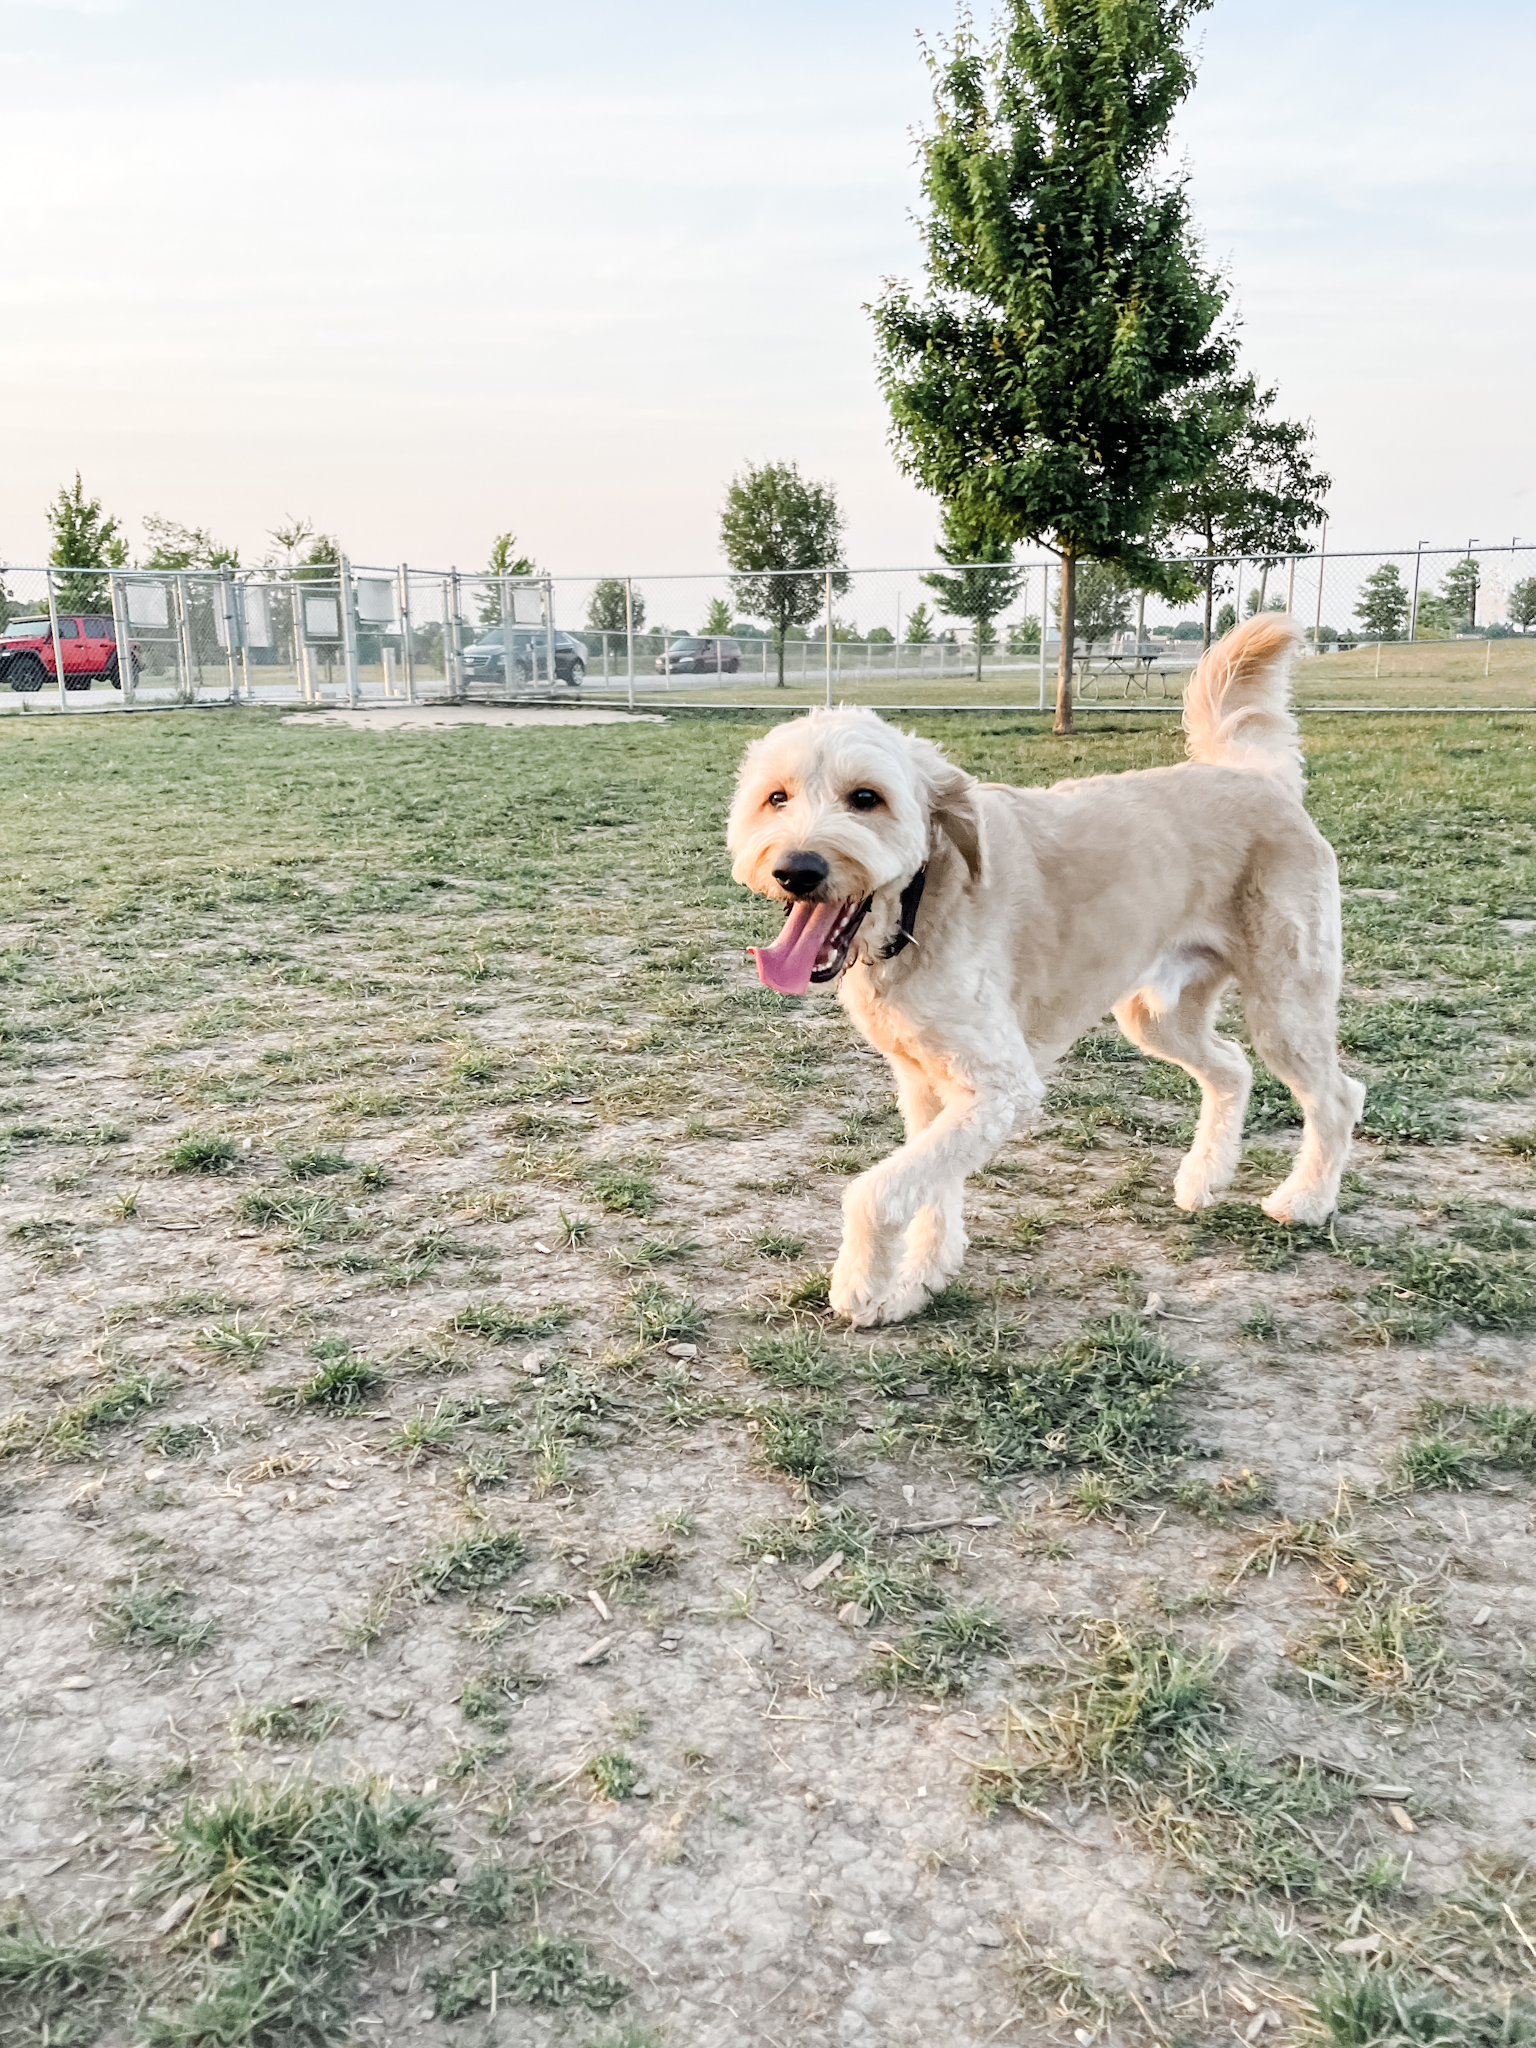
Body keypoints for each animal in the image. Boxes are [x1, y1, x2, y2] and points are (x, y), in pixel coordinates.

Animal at [729, 606, 1368, 1335]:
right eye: (776, 798)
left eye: (866, 797)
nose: (797, 869)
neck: (921, 908)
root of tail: (1255, 776)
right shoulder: (928, 1086)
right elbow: (931, 1189)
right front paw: (919, 1281)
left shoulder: (1001, 1086)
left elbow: (879, 1189)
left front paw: (861, 1285)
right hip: (1158, 1014)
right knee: (1232, 1067)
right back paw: (1203, 1178)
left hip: (1286, 1002)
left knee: (1337, 1096)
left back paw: (1307, 1200)